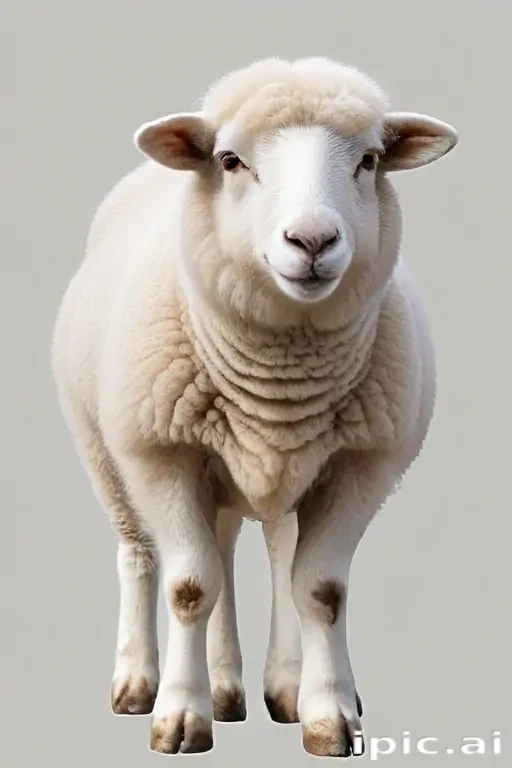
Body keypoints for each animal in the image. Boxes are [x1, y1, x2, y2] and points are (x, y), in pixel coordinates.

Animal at [51, 56, 458, 758]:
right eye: (231, 160)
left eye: (370, 160)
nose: (313, 240)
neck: (281, 372)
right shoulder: (164, 457)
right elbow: (190, 588)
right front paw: (179, 717)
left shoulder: (362, 467)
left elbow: (319, 589)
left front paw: (327, 715)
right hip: (106, 453)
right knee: (141, 556)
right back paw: (140, 682)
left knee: (264, 554)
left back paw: (266, 688)